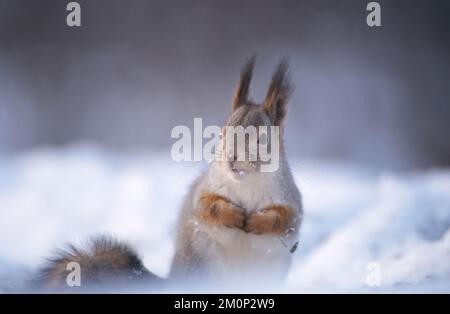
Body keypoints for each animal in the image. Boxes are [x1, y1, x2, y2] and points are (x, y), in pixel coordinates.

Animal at [33, 55, 302, 292]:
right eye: (223, 132)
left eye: (261, 139)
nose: (231, 159)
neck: (245, 182)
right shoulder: (206, 188)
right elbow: (205, 207)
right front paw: (233, 215)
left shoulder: (290, 198)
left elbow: (286, 220)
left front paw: (258, 221)